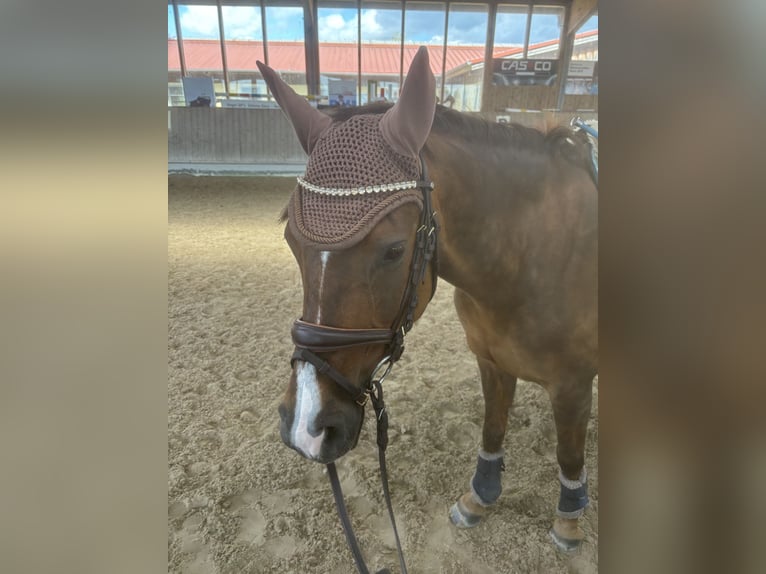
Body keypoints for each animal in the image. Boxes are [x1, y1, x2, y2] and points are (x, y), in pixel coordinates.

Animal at [257, 46, 597, 561]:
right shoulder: (492, 363)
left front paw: (569, 521)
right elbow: (492, 427)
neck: (530, 257)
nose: (307, 426)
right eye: (291, 242)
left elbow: (569, 452)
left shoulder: (574, 385)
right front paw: (480, 497)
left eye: (394, 250)